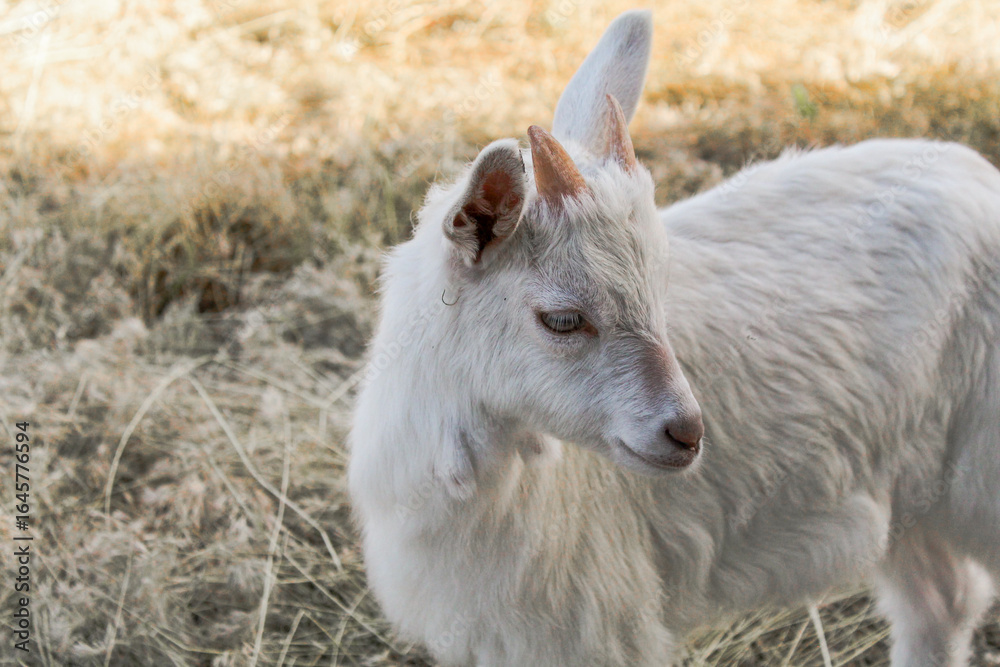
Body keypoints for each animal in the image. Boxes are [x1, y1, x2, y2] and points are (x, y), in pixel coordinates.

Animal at [348, 10, 1000, 666]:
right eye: (562, 319)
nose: (686, 433)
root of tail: (976, 173)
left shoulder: (597, 627)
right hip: (910, 484)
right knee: (942, 600)